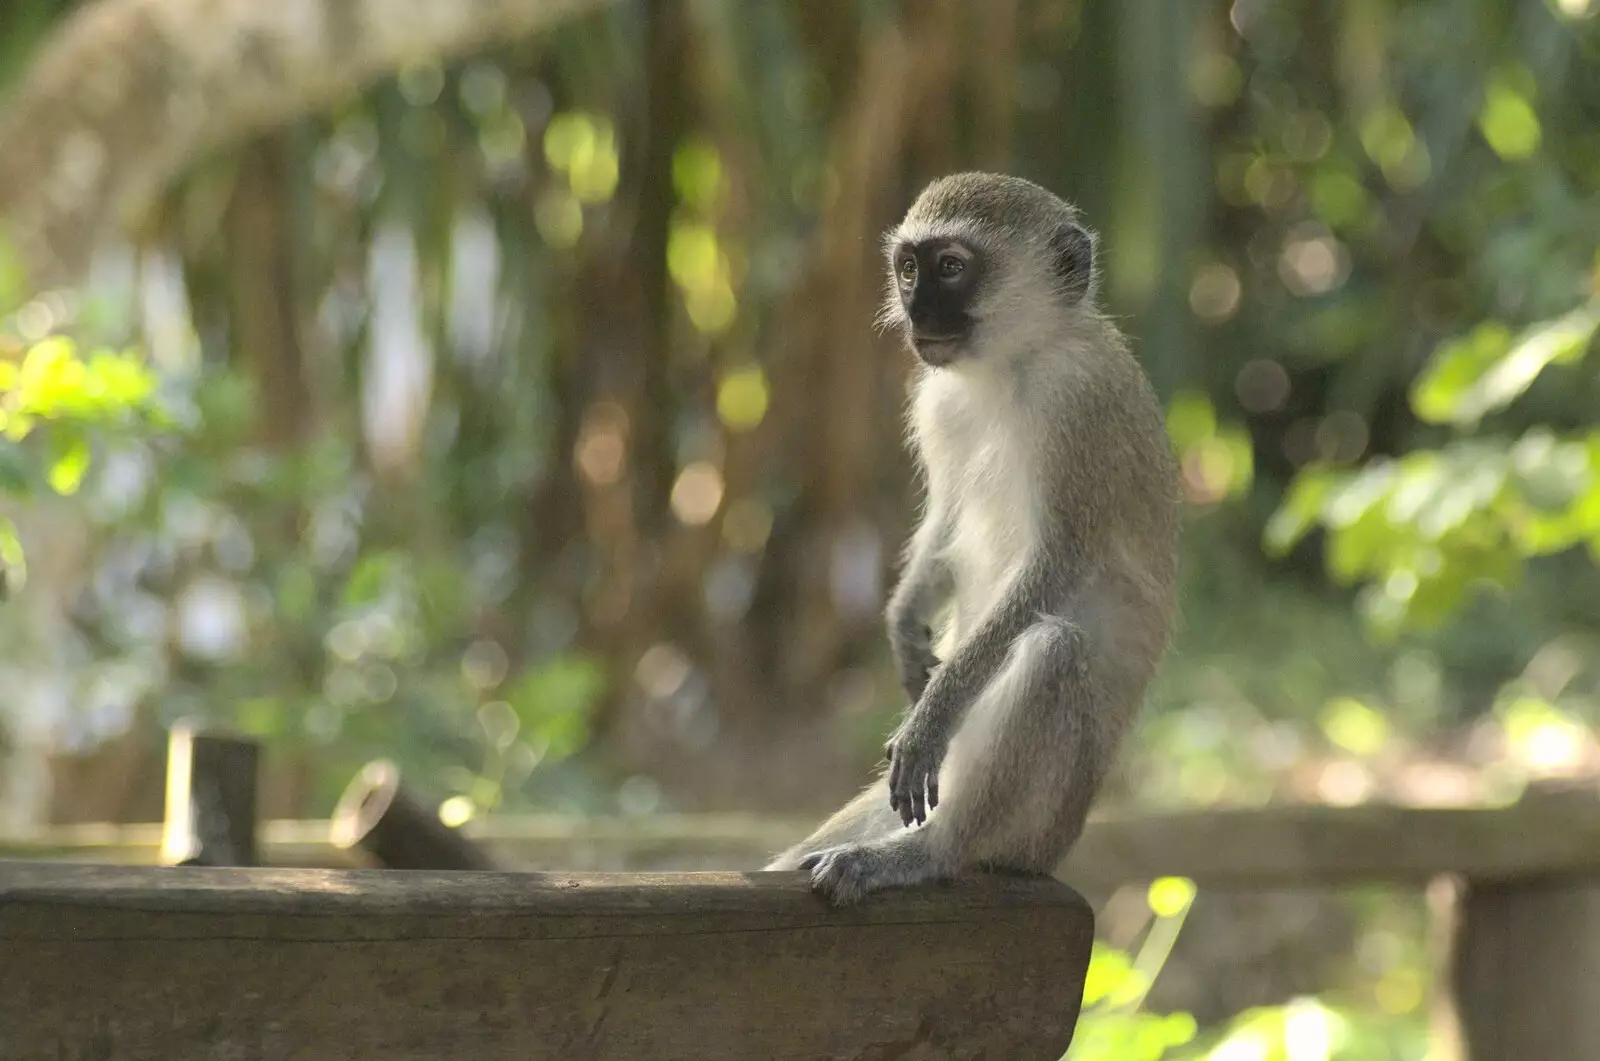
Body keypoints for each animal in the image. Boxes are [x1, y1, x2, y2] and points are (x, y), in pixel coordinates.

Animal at [768, 174, 1184, 902]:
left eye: (951, 267)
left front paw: (935, 711)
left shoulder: (1078, 400)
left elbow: (1061, 560)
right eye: (909, 268)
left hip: (1039, 823)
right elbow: (945, 516)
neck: (1011, 365)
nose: (916, 311)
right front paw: (905, 627)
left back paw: (927, 850)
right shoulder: (937, 400)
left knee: (1051, 650)